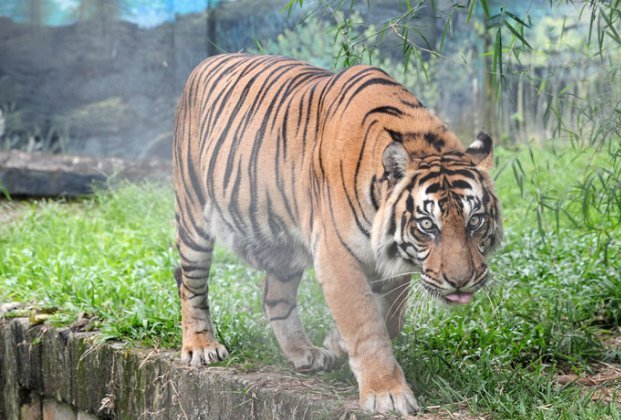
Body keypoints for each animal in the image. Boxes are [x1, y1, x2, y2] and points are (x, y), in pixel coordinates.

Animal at [172, 53, 502, 416]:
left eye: (475, 221)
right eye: (428, 225)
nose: (461, 281)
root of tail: (205, 62)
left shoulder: (393, 260)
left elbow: (389, 318)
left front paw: (336, 342)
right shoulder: (337, 258)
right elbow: (365, 324)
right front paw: (387, 393)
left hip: (283, 247)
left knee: (275, 298)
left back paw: (303, 353)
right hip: (193, 214)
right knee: (191, 284)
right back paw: (202, 346)